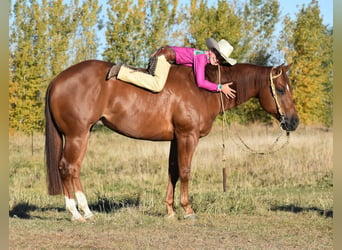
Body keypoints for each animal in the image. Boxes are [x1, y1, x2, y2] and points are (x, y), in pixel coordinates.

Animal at [45, 60, 300, 221]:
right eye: (281, 89)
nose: (293, 122)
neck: (202, 89)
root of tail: (57, 80)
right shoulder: (188, 136)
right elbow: (186, 171)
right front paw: (188, 210)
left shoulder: (176, 139)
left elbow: (173, 171)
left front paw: (170, 210)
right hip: (78, 135)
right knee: (68, 168)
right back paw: (78, 213)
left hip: (80, 135)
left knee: (72, 169)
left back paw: (84, 211)